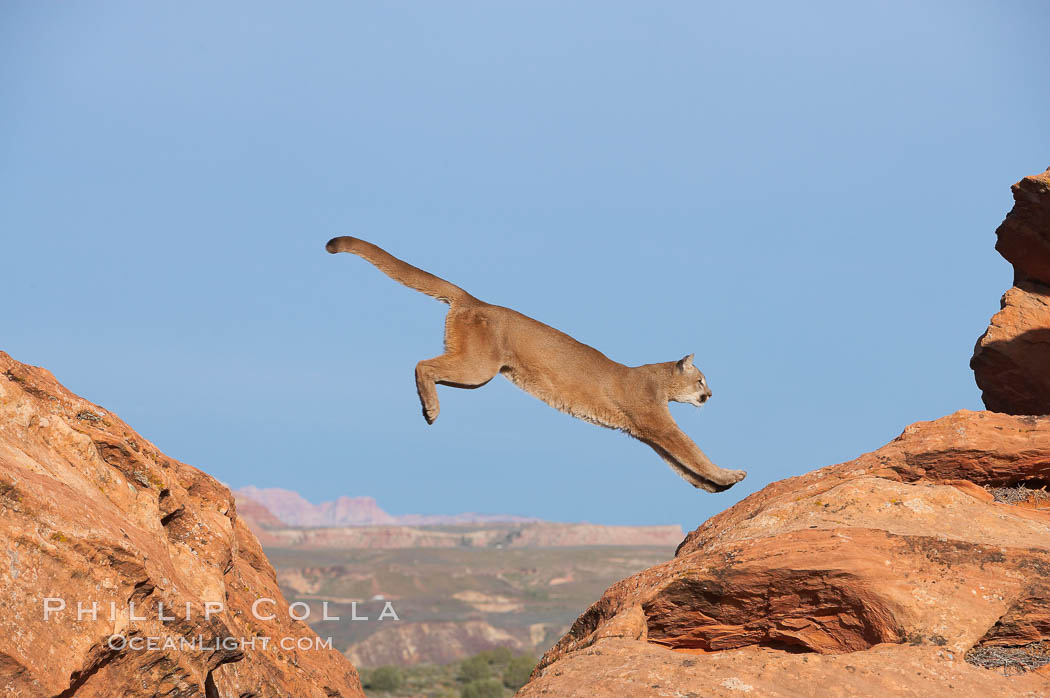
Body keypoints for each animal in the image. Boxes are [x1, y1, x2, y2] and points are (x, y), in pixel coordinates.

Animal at [323, 237, 743, 493]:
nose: (710, 394)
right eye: (701, 380)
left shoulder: (646, 434)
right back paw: (431, 409)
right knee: (421, 364)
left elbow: (681, 465)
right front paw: (729, 474)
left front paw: (716, 485)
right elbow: (691, 450)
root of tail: (475, 299)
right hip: (479, 369)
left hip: (479, 370)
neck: (658, 380)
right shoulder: (658, 424)